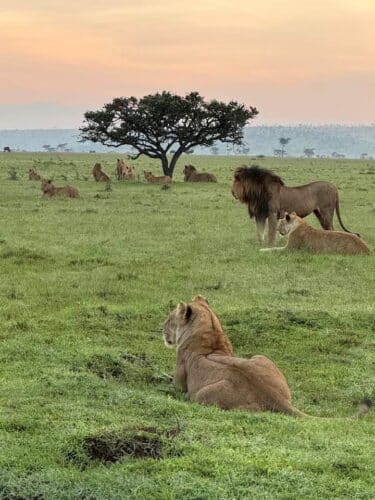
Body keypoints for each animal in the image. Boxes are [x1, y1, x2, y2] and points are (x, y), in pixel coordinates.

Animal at [164, 296, 374, 418]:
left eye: (169, 319)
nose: (161, 329)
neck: (210, 331)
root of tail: (274, 396)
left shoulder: (180, 383)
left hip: (201, 395)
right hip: (261, 357)